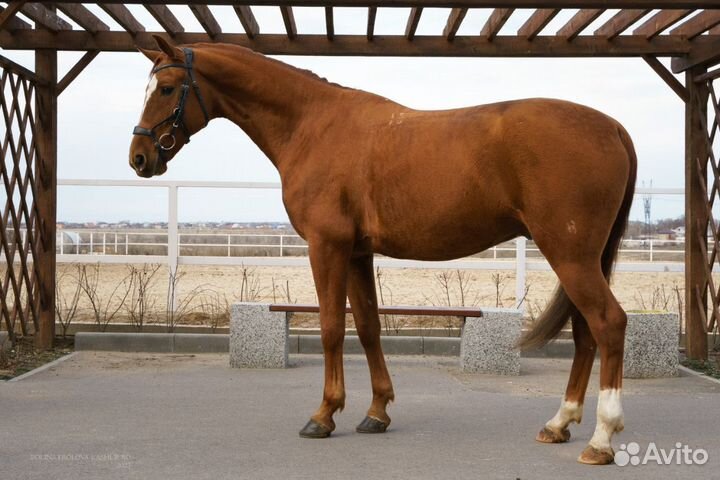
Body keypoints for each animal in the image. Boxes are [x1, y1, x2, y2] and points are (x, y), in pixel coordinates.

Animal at [129, 35, 636, 466]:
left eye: (167, 88)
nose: (139, 158)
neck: (313, 126)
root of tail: (612, 126)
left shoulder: (327, 247)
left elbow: (332, 328)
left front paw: (323, 415)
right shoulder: (357, 253)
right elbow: (369, 327)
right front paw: (376, 412)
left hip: (569, 255)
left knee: (608, 324)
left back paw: (600, 439)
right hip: (582, 258)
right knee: (586, 332)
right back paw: (559, 423)